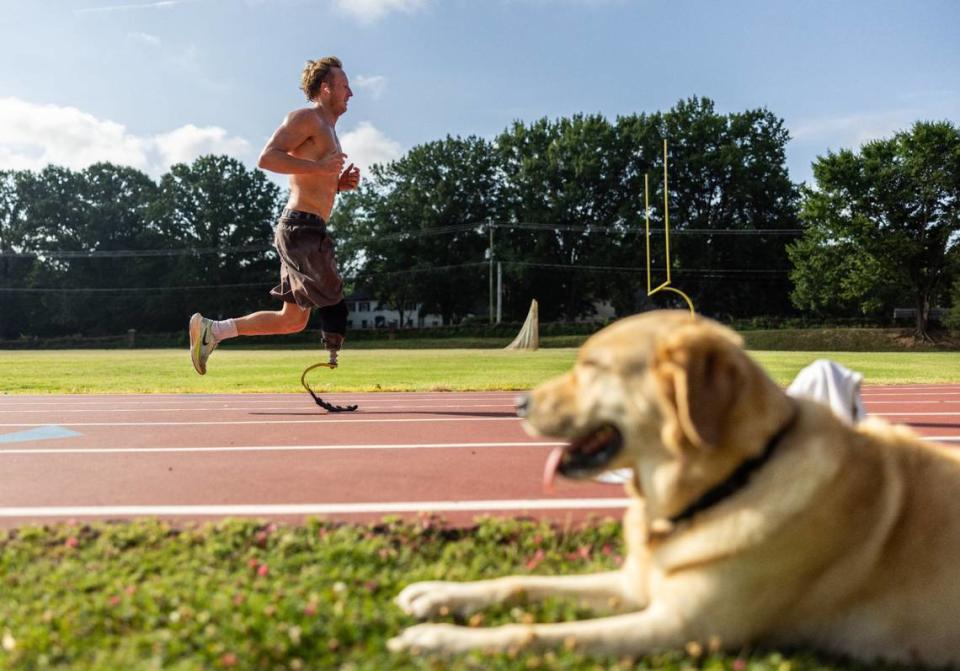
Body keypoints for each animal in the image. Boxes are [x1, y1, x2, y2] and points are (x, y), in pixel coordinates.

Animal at [388, 312, 960, 668]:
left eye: (591, 366)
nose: (517, 404)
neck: (732, 480)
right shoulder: (635, 584)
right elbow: (520, 584)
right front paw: (437, 595)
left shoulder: (681, 627)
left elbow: (532, 633)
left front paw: (437, 640)